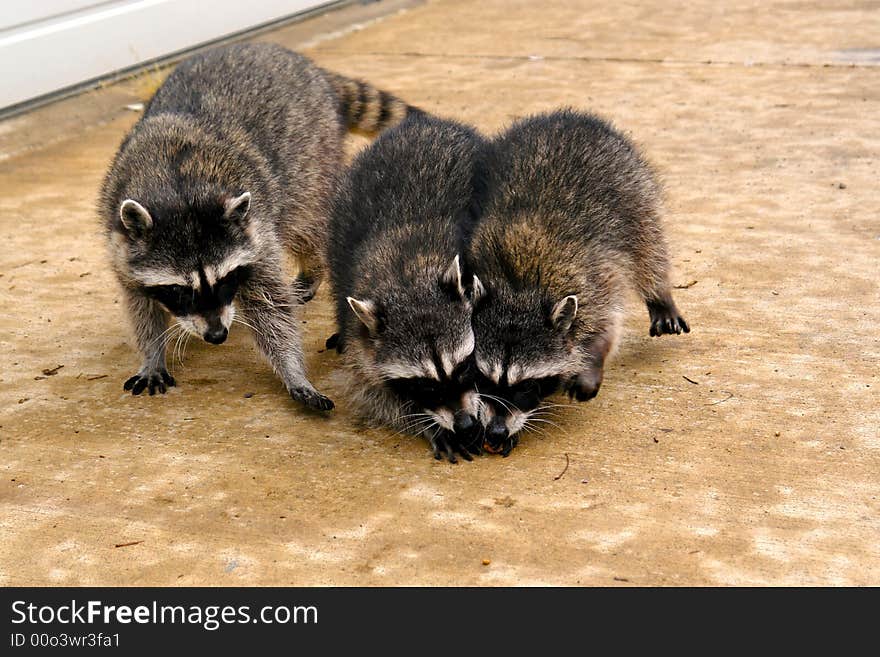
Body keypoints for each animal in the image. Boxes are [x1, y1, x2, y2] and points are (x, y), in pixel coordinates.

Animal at [101, 43, 418, 408]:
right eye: (179, 291)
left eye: (226, 278)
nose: (217, 335)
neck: (179, 190)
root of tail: (306, 66)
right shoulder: (120, 243)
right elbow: (141, 305)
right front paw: (153, 354)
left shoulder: (257, 233)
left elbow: (271, 306)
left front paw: (293, 370)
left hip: (313, 154)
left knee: (307, 223)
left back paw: (313, 266)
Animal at [328, 113, 484, 462]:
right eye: (424, 386)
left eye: (463, 367)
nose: (465, 423)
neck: (407, 277)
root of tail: (426, 123)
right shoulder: (361, 336)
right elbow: (373, 391)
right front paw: (426, 421)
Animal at [470, 109, 692, 456]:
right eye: (482, 378)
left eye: (527, 385)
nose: (495, 430)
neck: (520, 287)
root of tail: (567, 116)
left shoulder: (595, 279)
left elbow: (606, 327)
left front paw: (591, 362)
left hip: (634, 189)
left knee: (650, 248)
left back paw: (660, 294)